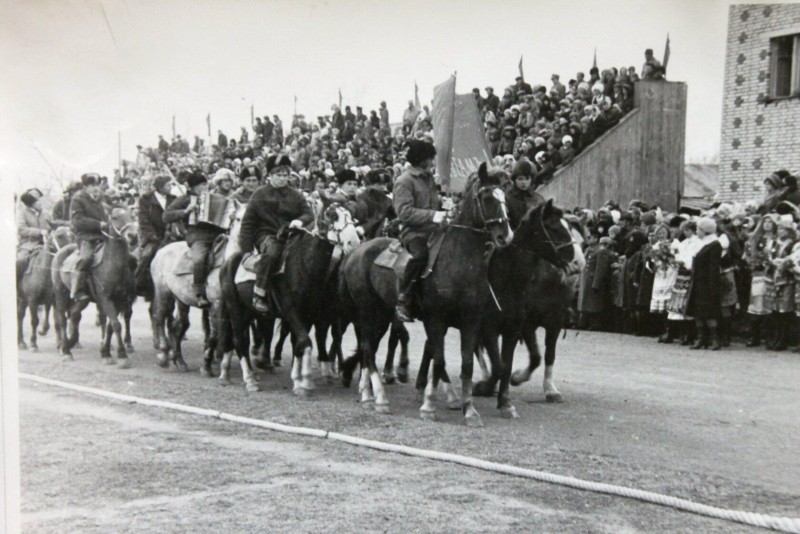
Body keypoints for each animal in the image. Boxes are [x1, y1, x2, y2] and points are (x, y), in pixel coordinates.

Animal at [50, 207, 138, 366]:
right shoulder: (105, 299)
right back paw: (65, 350)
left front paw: (106, 352)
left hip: (83, 300)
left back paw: (71, 342)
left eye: (132, 215)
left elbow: (110, 327)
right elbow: (116, 324)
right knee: (61, 319)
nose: (133, 236)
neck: (113, 265)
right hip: (60, 294)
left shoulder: (120, 300)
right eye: (115, 217)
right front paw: (122, 355)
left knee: (74, 314)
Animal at [148, 203, 245, 374]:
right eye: (238, 218)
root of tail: (161, 251)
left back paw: (179, 361)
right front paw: (207, 366)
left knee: (178, 325)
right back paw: (163, 355)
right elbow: (214, 333)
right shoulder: (217, 304)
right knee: (159, 317)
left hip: (181, 298)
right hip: (163, 292)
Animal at [216, 203, 360, 396]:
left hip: (247, 312)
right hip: (235, 310)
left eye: (351, 216)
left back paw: (229, 374)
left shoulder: (310, 315)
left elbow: (299, 344)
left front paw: (299, 380)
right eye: (332, 216)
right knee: (240, 342)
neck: (303, 264)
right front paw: (304, 382)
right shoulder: (291, 312)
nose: (354, 242)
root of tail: (229, 261)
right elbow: (305, 342)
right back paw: (250, 380)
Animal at [336, 163, 512, 422]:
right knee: (368, 348)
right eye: (487, 197)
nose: (505, 235)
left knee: (370, 347)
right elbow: (438, 360)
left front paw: (470, 410)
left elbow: (466, 364)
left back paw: (368, 392)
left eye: (505, 197)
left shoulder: (471, 321)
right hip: (369, 312)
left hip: (382, 314)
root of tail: (356, 251)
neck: (459, 262)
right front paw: (429, 404)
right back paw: (378, 398)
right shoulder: (436, 319)